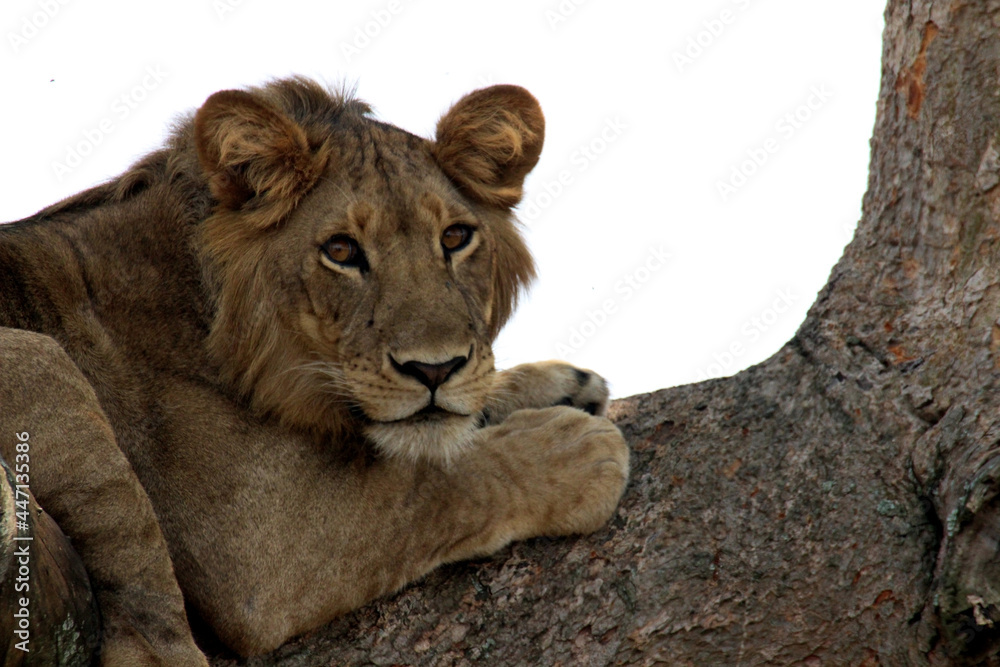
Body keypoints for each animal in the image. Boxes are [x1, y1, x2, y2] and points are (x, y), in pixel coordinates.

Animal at [0, 78, 630, 665]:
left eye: (455, 237)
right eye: (342, 251)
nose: (436, 369)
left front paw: (561, 387)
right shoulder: (258, 556)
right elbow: (434, 486)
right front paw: (574, 452)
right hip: (39, 361)